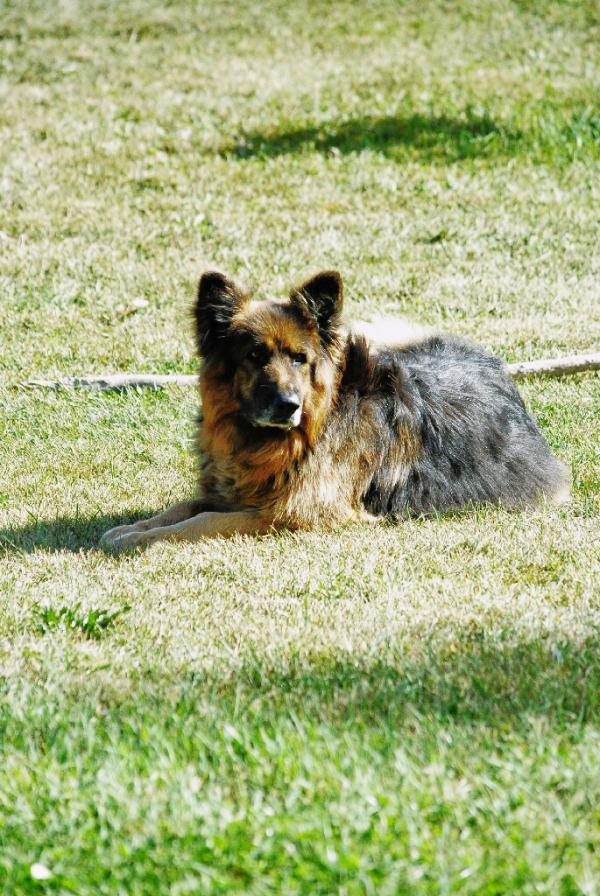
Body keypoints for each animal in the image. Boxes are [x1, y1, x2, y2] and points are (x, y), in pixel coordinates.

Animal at [100, 270, 569, 551]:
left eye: (299, 358)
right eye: (254, 355)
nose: (288, 406)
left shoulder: (292, 514)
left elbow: (203, 522)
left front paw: (145, 539)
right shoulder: (233, 492)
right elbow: (183, 508)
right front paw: (133, 528)